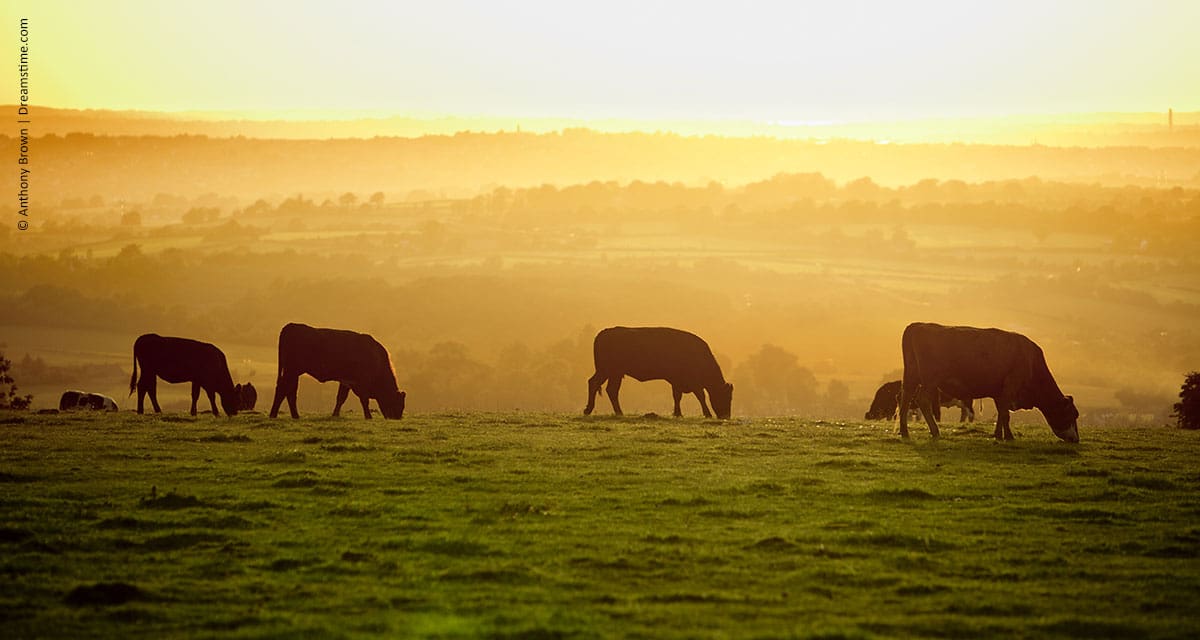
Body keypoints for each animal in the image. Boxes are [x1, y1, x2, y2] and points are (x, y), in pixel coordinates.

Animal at [270, 319, 405, 420]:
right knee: (283, 389)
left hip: (293, 372)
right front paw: (368, 416)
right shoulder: (362, 382)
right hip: (291, 370)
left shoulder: (346, 381)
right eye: (398, 404)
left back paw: (294, 415)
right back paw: (274, 414)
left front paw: (335, 414)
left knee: (290, 391)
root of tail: (291, 326)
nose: (396, 418)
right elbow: (364, 400)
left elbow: (341, 398)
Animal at [580, 324, 729, 420]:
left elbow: (678, 396)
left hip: (613, 373)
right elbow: (699, 396)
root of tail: (604, 332)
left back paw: (617, 412)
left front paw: (677, 413)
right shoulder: (689, 382)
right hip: (607, 371)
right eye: (724, 396)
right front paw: (707, 414)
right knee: (597, 384)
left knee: (609, 389)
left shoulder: (678, 382)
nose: (726, 416)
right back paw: (591, 410)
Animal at [902, 321, 1080, 441]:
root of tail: (918, 325)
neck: (1031, 362)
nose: (1076, 439)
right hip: (930, 379)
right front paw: (1009, 436)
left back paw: (904, 432)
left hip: (911, 376)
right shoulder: (1010, 386)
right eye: (1072, 414)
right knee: (922, 400)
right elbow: (1005, 414)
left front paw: (998, 435)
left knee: (905, 398)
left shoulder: (999, 391)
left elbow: (1001, 413)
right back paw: (935, 431)